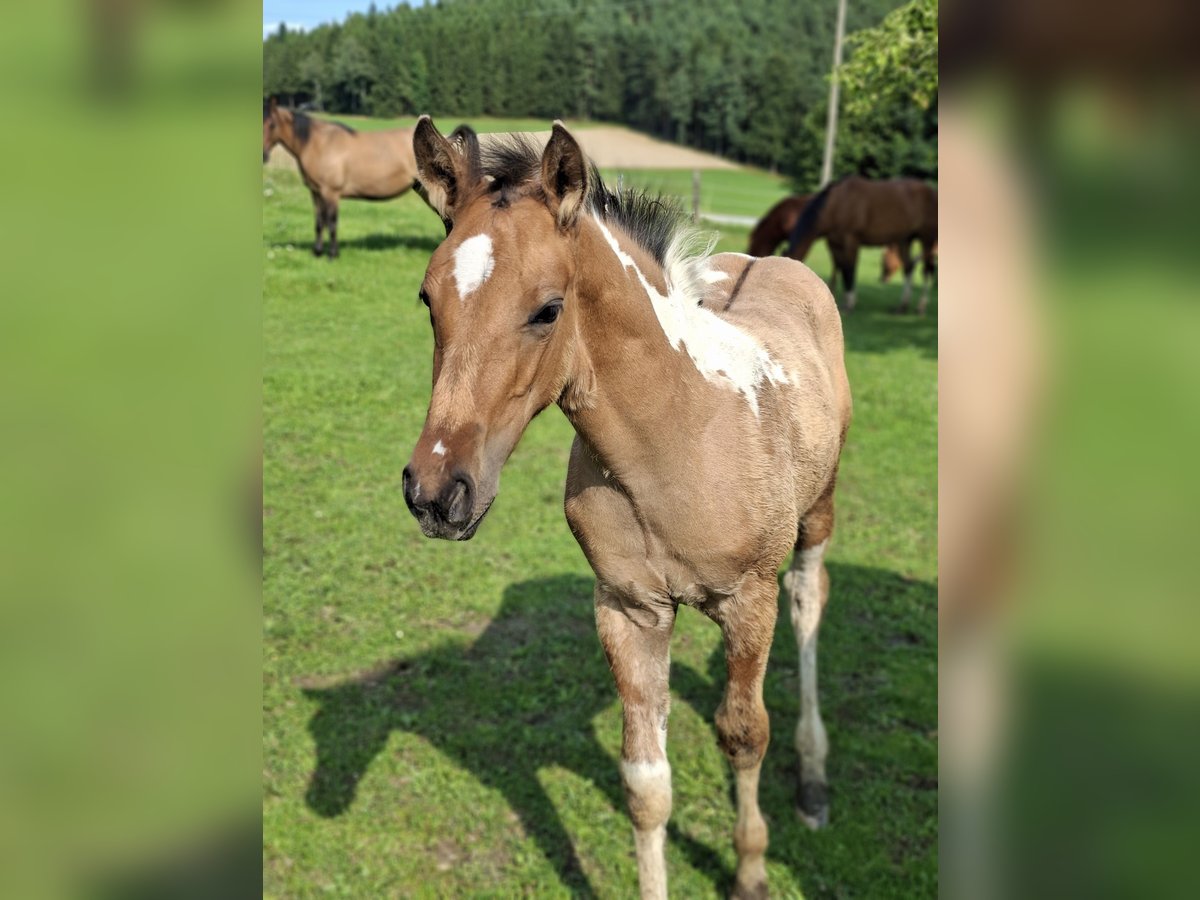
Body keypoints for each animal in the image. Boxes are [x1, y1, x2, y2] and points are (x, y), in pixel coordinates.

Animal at [263, 98, 444, 258]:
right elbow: (319, 222)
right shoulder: (316, 192)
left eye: (272, 124)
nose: (263, 156)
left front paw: (332, 254)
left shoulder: (331, 192)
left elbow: (332, 223)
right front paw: (317, 252)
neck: (319, 144)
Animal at [400, 117, 852, 899]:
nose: (435, 493)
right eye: (430, 300)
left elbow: (744, 734)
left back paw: (814, 780)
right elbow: (645, 783)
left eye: (547, 309)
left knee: (809, 603)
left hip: (817, 514)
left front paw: (751, 870)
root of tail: (777, 262)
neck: (677, 433)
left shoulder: (749, 600)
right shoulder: (628, 607)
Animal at [784, 175, 938, 314]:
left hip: (927, 239)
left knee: (927, 270)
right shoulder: (836, 245)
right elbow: (842, 269)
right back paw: (902, 307)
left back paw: (921, 307)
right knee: (909, 267)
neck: (835, 205)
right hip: (905, 239)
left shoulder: (851, 241)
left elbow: (849, 270)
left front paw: (849, 305)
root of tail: (932, 192)